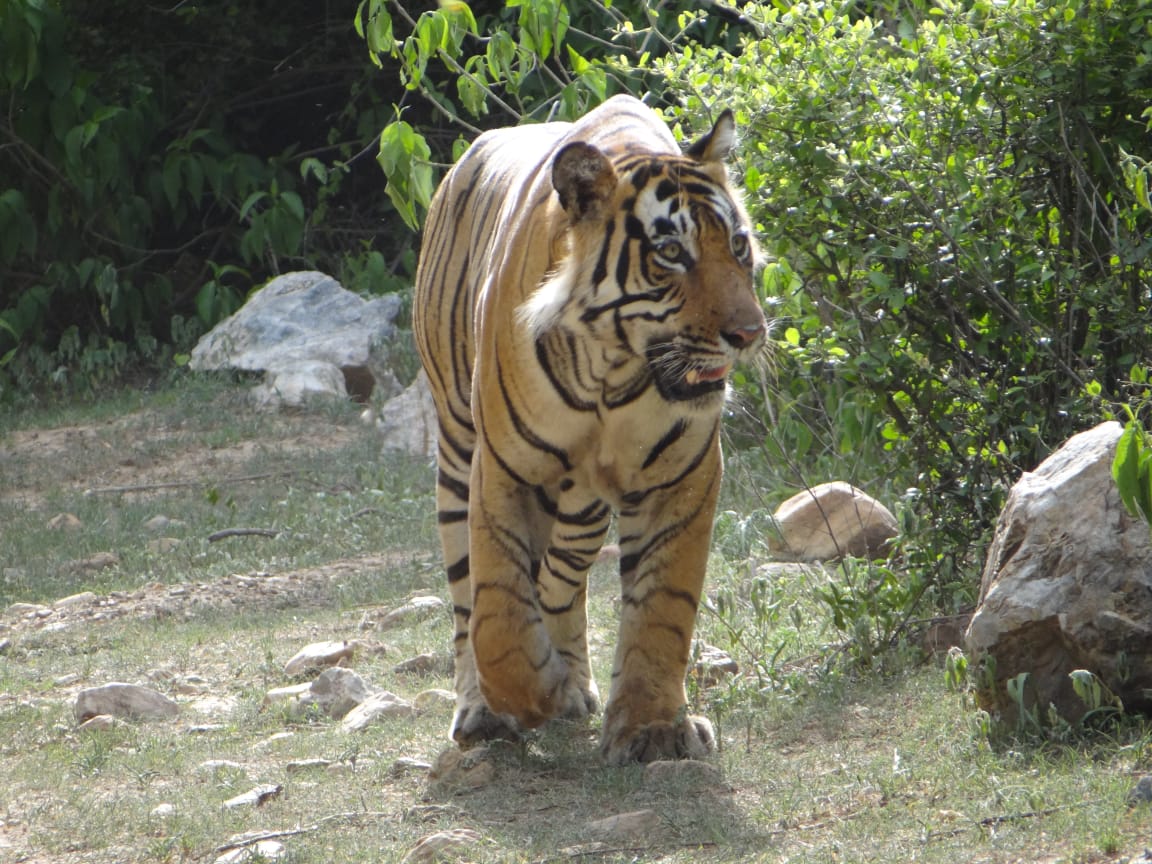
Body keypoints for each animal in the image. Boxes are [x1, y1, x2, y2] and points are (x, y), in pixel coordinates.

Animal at [412, 94, 767, 765]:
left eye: (737, 244)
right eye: (671, 253)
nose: (751, 333)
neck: (614, 369)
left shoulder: (684, 475)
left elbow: (663, 608)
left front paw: (653, 729)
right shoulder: (501, 468)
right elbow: (498, 613)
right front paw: (531, 694)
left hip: (581, 502)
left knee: (560, 580)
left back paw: (571, 676)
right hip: (456, 450)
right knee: (469, 601)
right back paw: (484, 708)